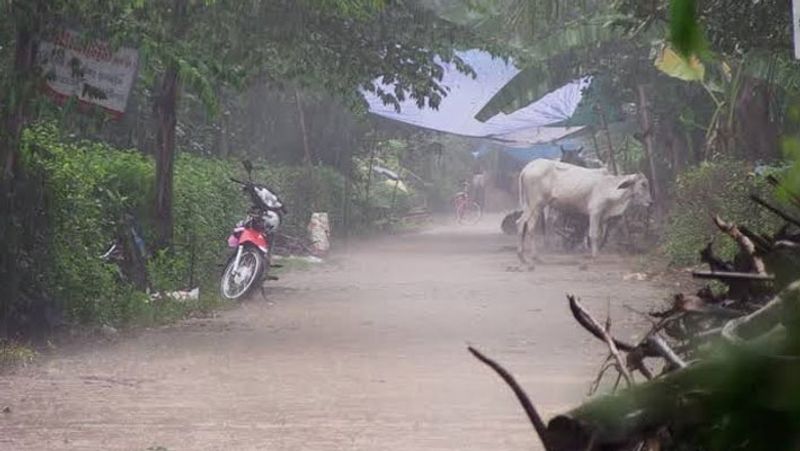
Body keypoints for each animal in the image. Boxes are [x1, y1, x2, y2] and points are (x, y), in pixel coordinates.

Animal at [520, 162, 648, 262]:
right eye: (643, 184)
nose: (650, 202)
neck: (608, 186)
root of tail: (527, 168)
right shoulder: (594, 212)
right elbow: (593, 234)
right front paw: (595, 255)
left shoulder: (602, 216)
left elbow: (600, 235)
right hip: (536, 205)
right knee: (530, 225)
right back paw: (534, 256)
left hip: (529, 205)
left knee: (520, 222)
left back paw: (521, 255)